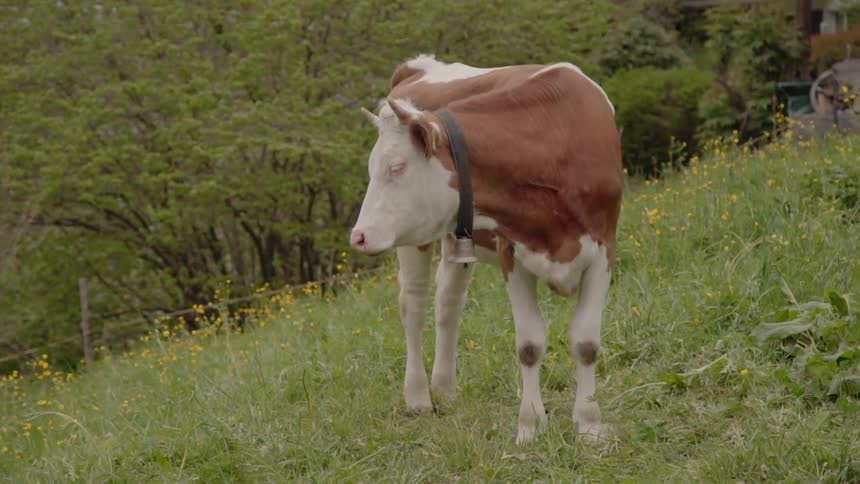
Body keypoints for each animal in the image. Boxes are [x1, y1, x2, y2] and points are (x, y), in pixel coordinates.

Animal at [350, 55, 622, 444]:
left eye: (397, 167)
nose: (357, 236)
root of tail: (420, 65)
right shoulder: (512, 254)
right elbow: (529, 345)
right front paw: (530, 427)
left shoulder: (604, 250)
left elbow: (586, 342)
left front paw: (589, 426)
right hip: (415, 240)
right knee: (413, 306)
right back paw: (418, 397)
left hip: (455, 238)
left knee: (448, 304)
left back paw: (445, 388)